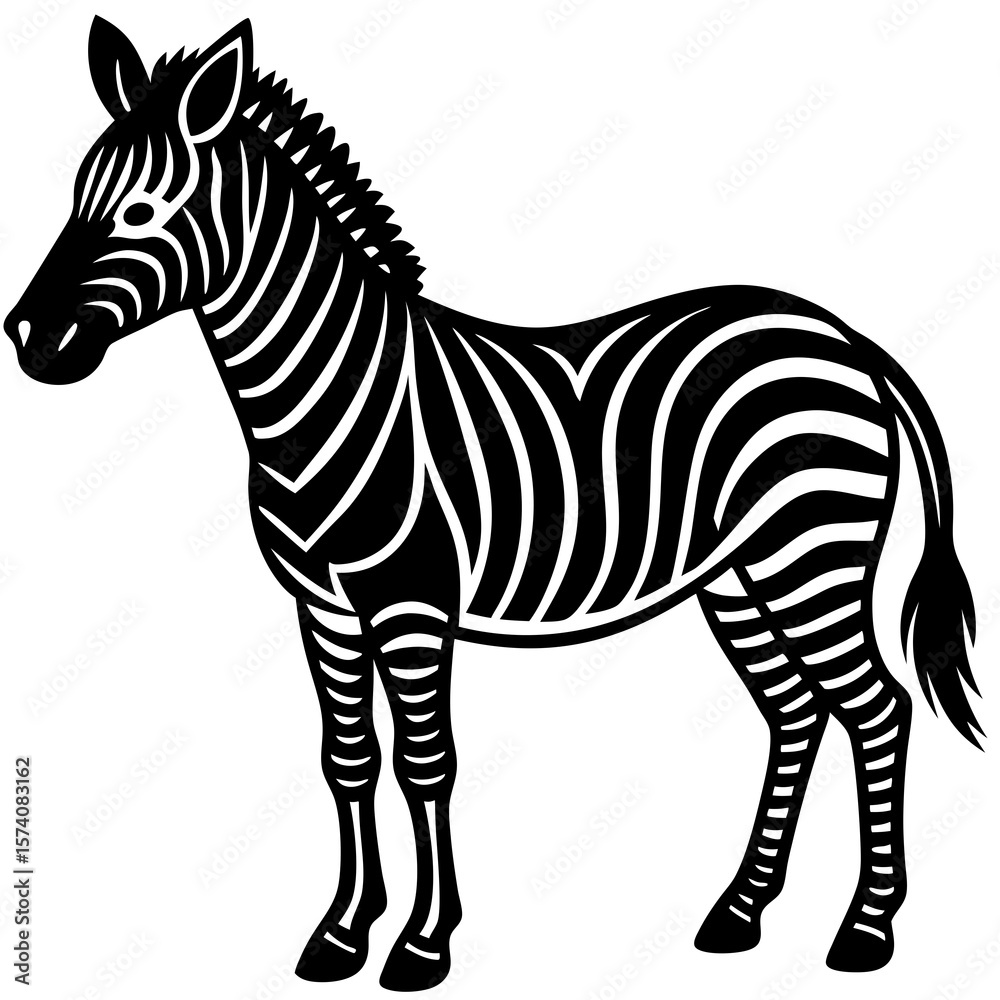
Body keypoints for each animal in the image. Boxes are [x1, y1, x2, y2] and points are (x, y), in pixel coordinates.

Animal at [5, 16, 983, 991]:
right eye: (77, 196)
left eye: (139, 212)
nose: (28, 337)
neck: (322, 392)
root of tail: (840, 334)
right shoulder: (322, 607)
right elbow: (348, 760)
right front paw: (341, 934)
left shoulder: (409, 603)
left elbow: (426, 762)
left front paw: (422, 943)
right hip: (738, 575)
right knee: (794, 713)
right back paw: (740, 912)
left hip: (808, 553)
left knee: (876, 710)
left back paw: (867, 929)